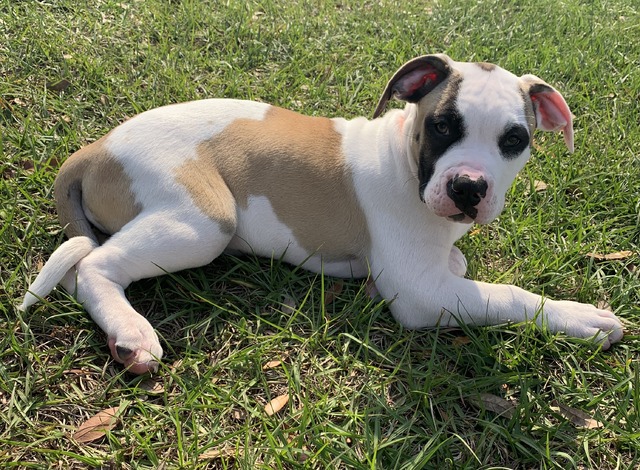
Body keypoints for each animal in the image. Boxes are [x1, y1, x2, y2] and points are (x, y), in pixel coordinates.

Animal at [21, 54, 624, 374]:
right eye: (442, 126)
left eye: (515, 140)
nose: (469, 187)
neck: (406, 162)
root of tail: (95, 149)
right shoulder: (419, 293)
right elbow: (508, 295)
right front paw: (581, 317)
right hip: (203, 222)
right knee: (93, 266)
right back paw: (131, 334)